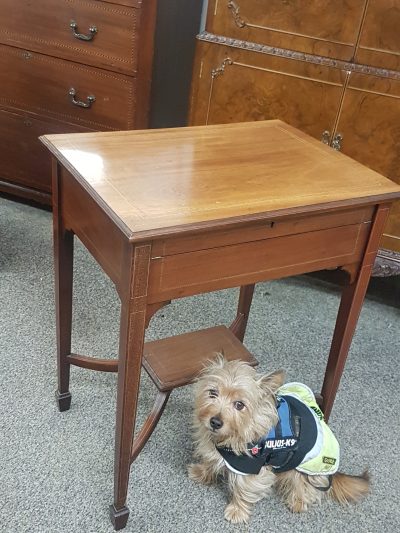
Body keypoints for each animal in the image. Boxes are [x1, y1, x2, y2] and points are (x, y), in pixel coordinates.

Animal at [188, 356, 368, 520]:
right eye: (213, 393)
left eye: (239, 405)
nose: (215, 422)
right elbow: (211, 460)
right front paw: (201, 472)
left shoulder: (251, 467)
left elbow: (244, 488)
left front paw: (237, 510)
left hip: (303, 469)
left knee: (309, 486)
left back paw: (298, 501)